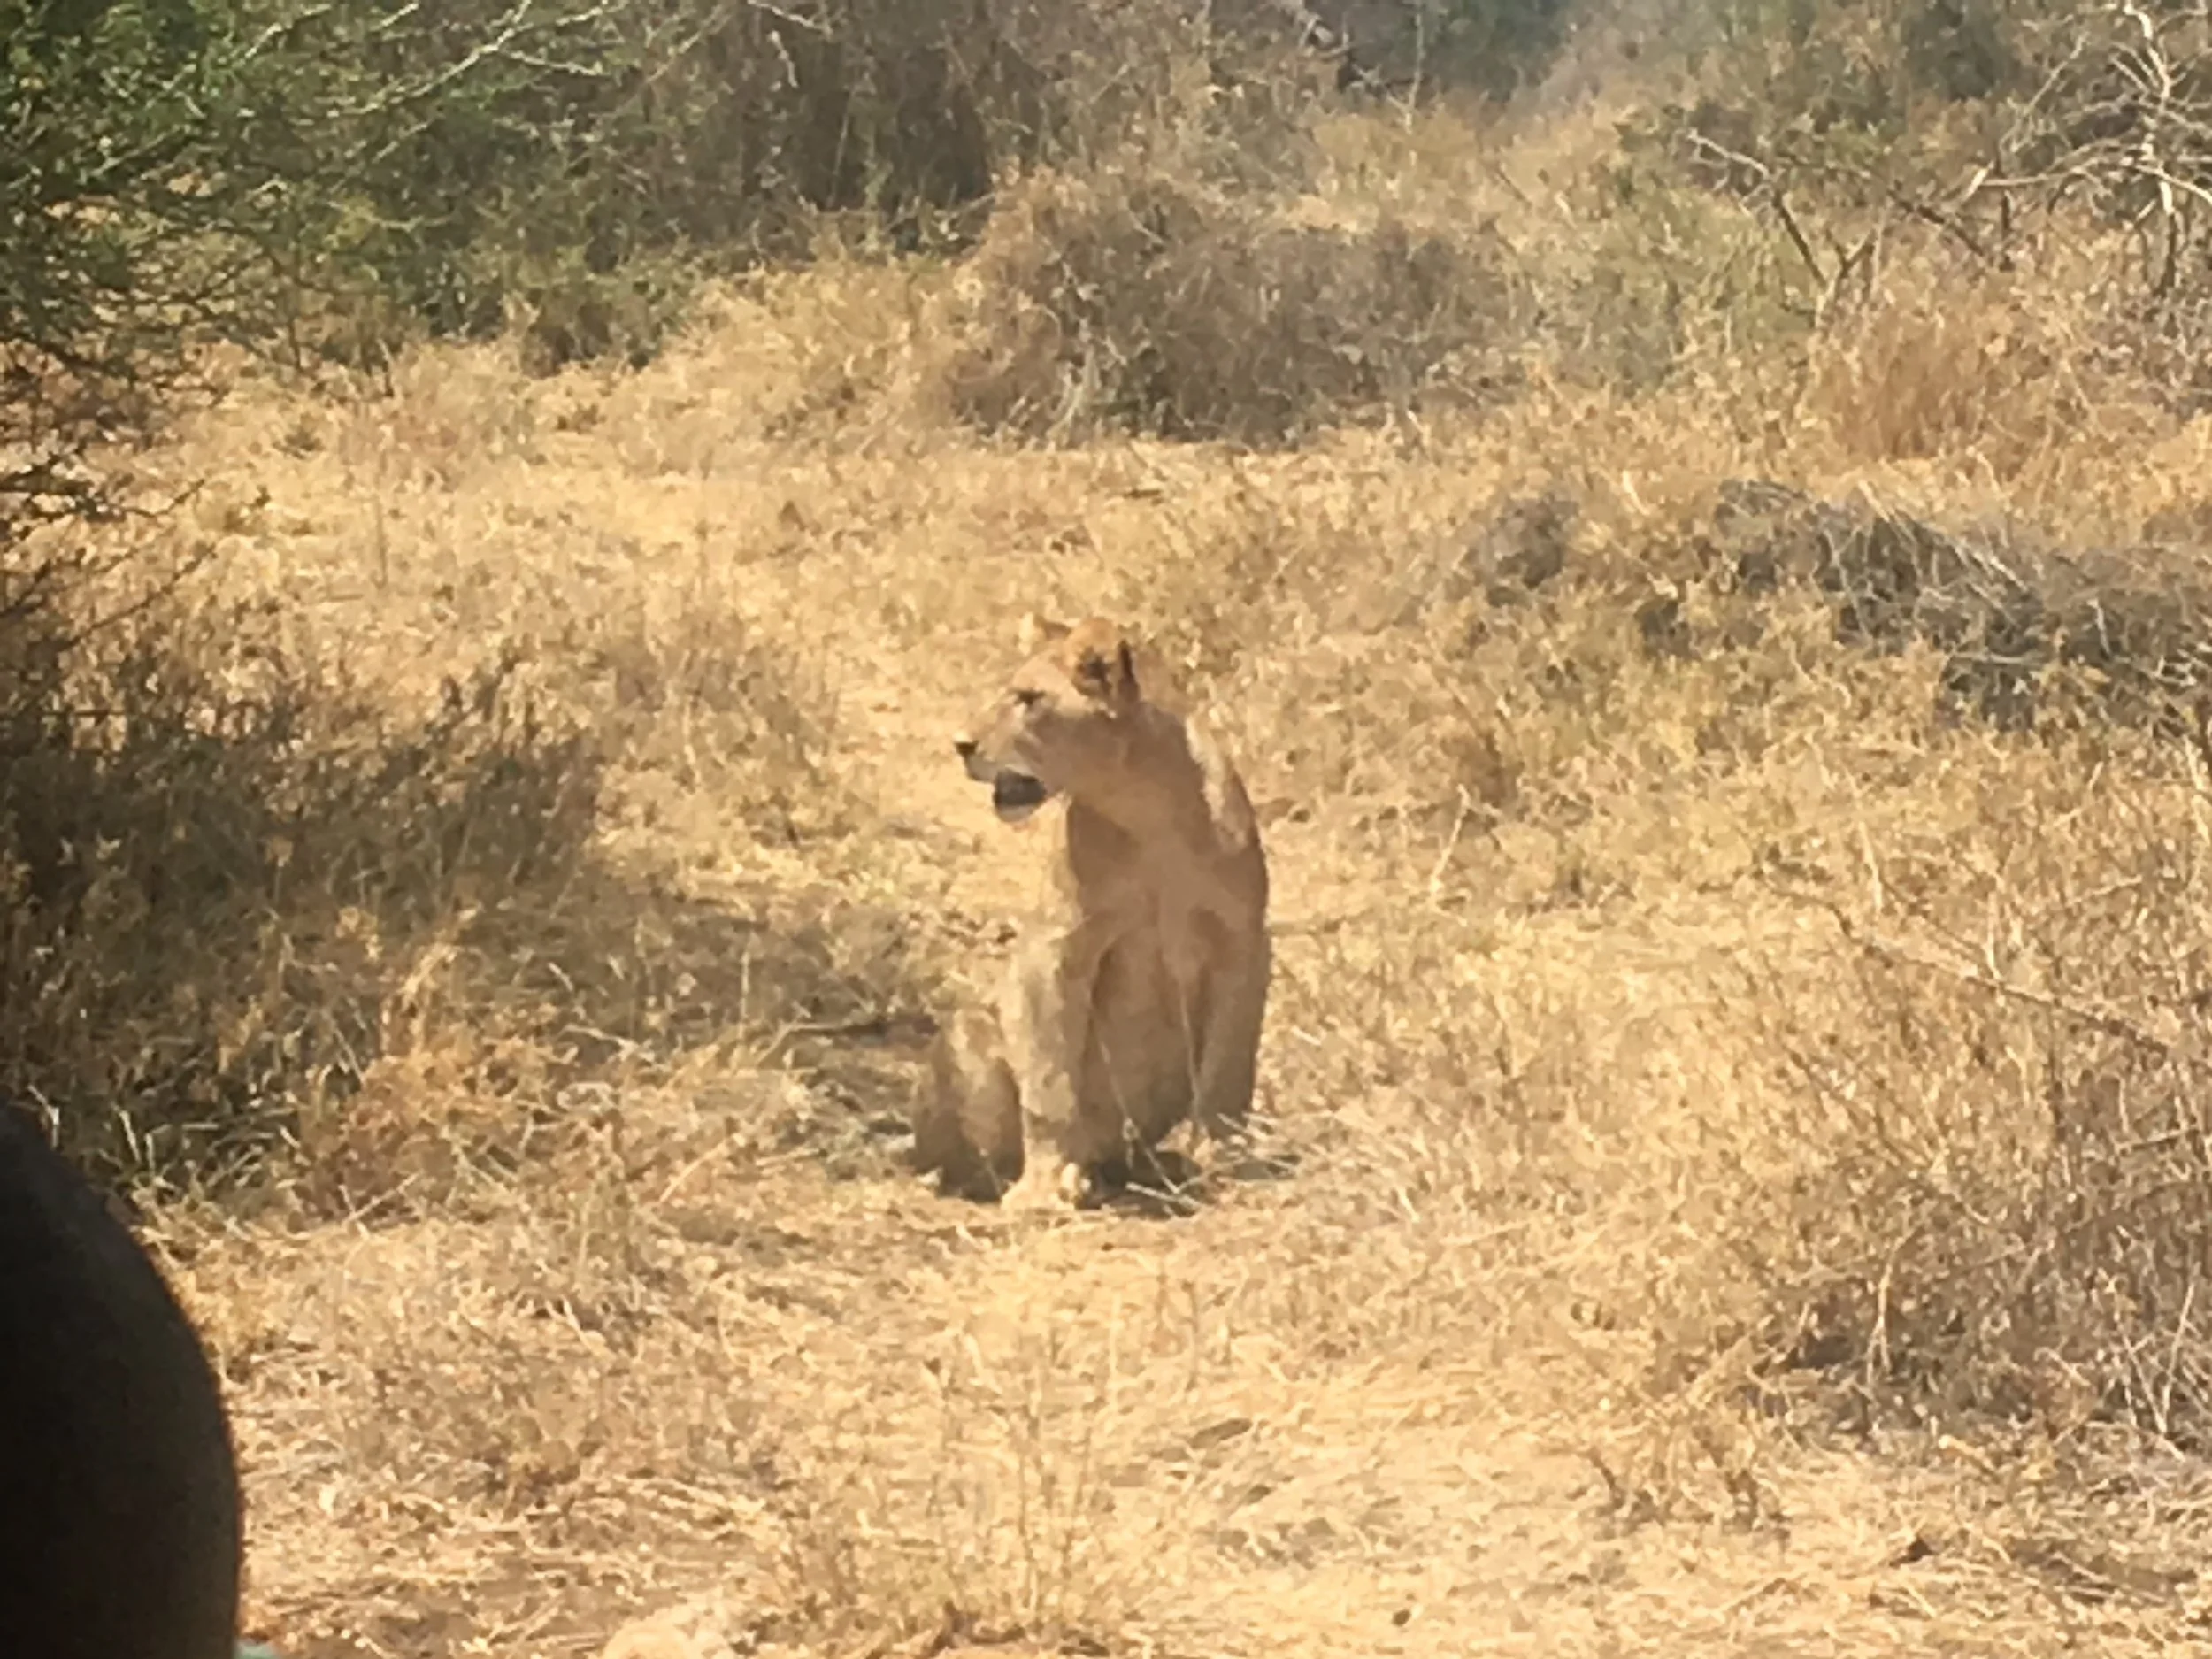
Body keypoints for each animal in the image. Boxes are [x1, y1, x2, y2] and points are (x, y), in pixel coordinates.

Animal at [912, 613, 1272, 1211]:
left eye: (1029, 699)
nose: (960, 744)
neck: (1146, 809)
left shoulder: (1244, 942)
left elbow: (1228, 1068)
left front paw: (1221, 1158)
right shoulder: (1057, 946)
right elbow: (1049, 1083)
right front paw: (1043, 1186)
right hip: (969, 1032)